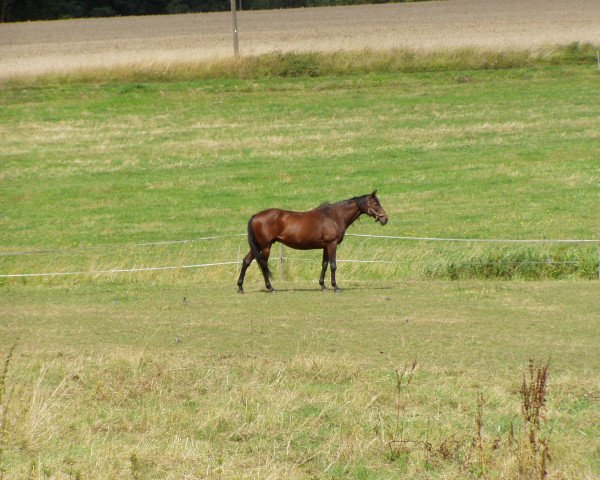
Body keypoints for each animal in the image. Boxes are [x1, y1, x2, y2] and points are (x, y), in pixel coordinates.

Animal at [237, 191, 386, 292]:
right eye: (375, 203)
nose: (385, 219)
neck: (334, 216)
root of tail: (256, 215)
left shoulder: (326, 246)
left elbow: (324, 264)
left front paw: (323, 285)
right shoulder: (332, 245)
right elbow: (333, 265)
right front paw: (335, 286)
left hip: (258, 246)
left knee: (246, 261)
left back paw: (240, 287)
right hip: (266, 246)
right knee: (263, 264)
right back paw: (270, 288)